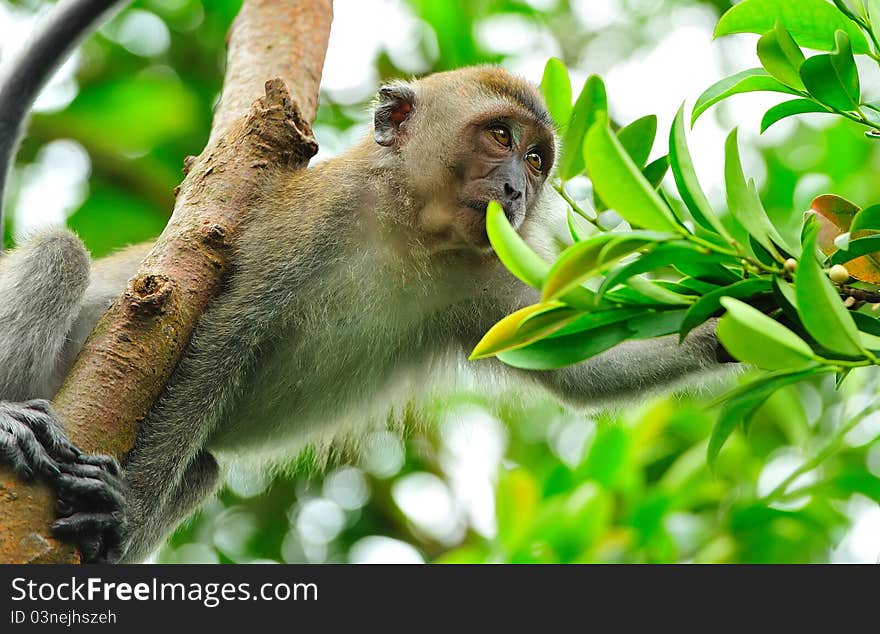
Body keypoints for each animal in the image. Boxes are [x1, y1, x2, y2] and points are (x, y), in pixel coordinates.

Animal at [0, 4, 728, 560]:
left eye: (536, 158)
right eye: (500, 136)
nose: (518, 192)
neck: (411, 227)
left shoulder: (485, 269)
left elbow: (566, 364)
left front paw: (731, 325)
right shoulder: (312, 218)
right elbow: (218, 338)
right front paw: (122, 508)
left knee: (202, 468)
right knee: (62, 255)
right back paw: (11, 424)